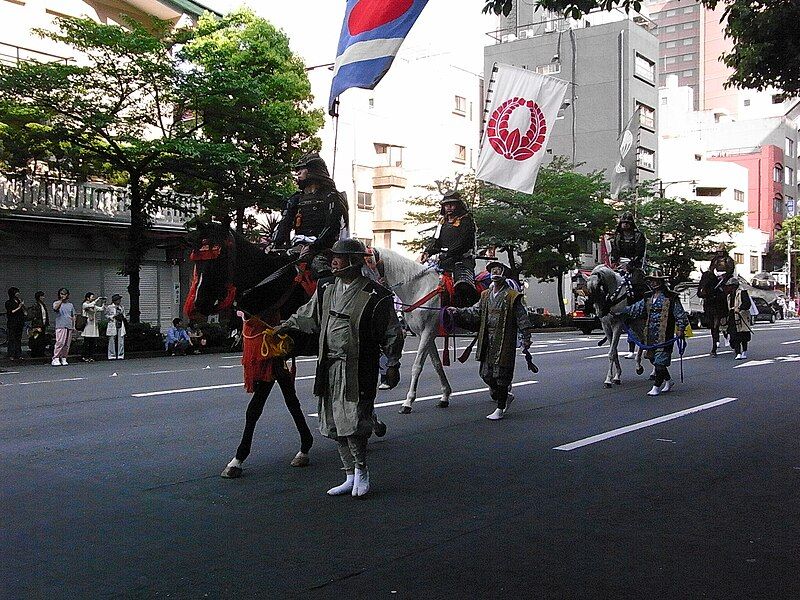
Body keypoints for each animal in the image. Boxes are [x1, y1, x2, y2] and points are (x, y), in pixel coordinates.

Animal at [376, 248, 454, 412]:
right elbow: (436, 364)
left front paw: (408, 402)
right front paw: (445, 395)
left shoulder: (427, 332)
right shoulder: (424, 334)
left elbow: (417, 366)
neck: (418, 288)